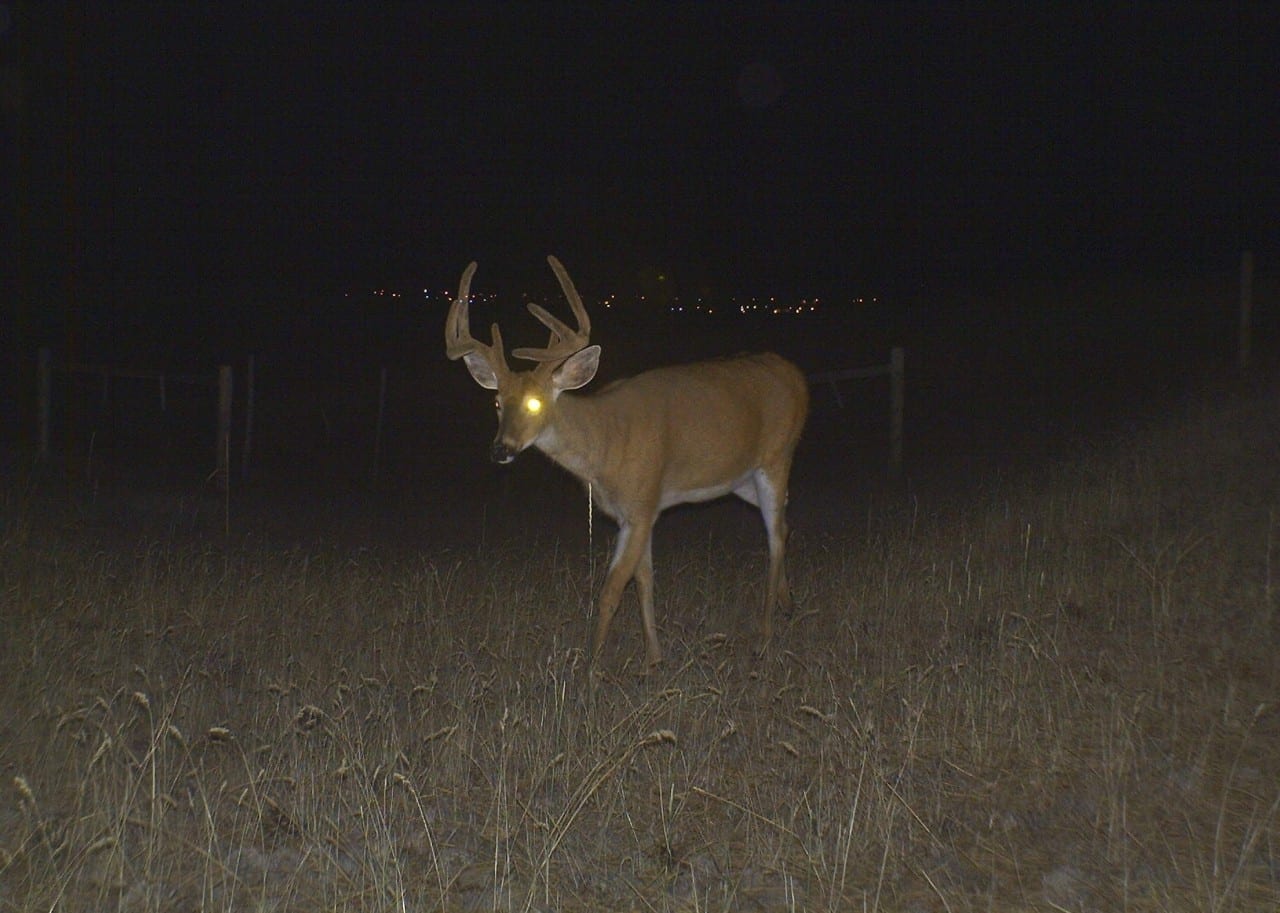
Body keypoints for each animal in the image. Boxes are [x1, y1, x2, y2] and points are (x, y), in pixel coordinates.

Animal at [445, 256, 809, 667]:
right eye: (496, 402)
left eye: (535, 402)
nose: (501, 449)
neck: (605, 447)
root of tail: (797, 377)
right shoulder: (638, 512)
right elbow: (644, 579)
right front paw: (654, 658)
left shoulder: (640, 504)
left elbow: (612, 590)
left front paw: (591, 669)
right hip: (742, 480)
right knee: (785, 525)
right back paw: (787, 604)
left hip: (776, 456)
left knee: (774, 537)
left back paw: (765, 634)